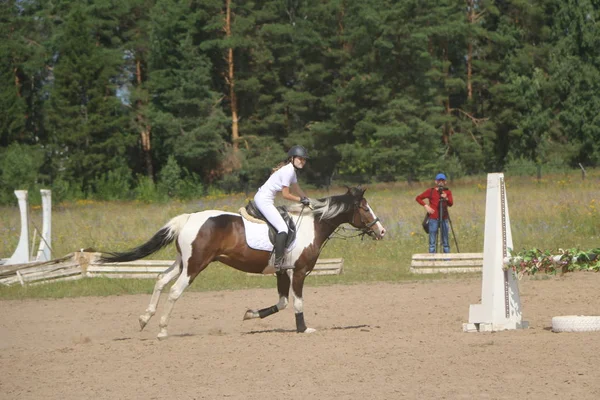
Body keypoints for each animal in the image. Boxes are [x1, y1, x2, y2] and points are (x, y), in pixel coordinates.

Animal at [98, 186, 384, 340]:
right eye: (365, 208)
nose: (381, 231)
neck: (312, 226)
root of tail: (188, 217)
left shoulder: (282, 272)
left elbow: (282, 302)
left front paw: (250, 314)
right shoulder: (300, 271)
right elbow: (298, 302)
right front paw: (303, 329)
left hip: (183, 262)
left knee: (160, 280)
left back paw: (144, 319)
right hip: (195, 266)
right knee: (175, 291)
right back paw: (162, 331)